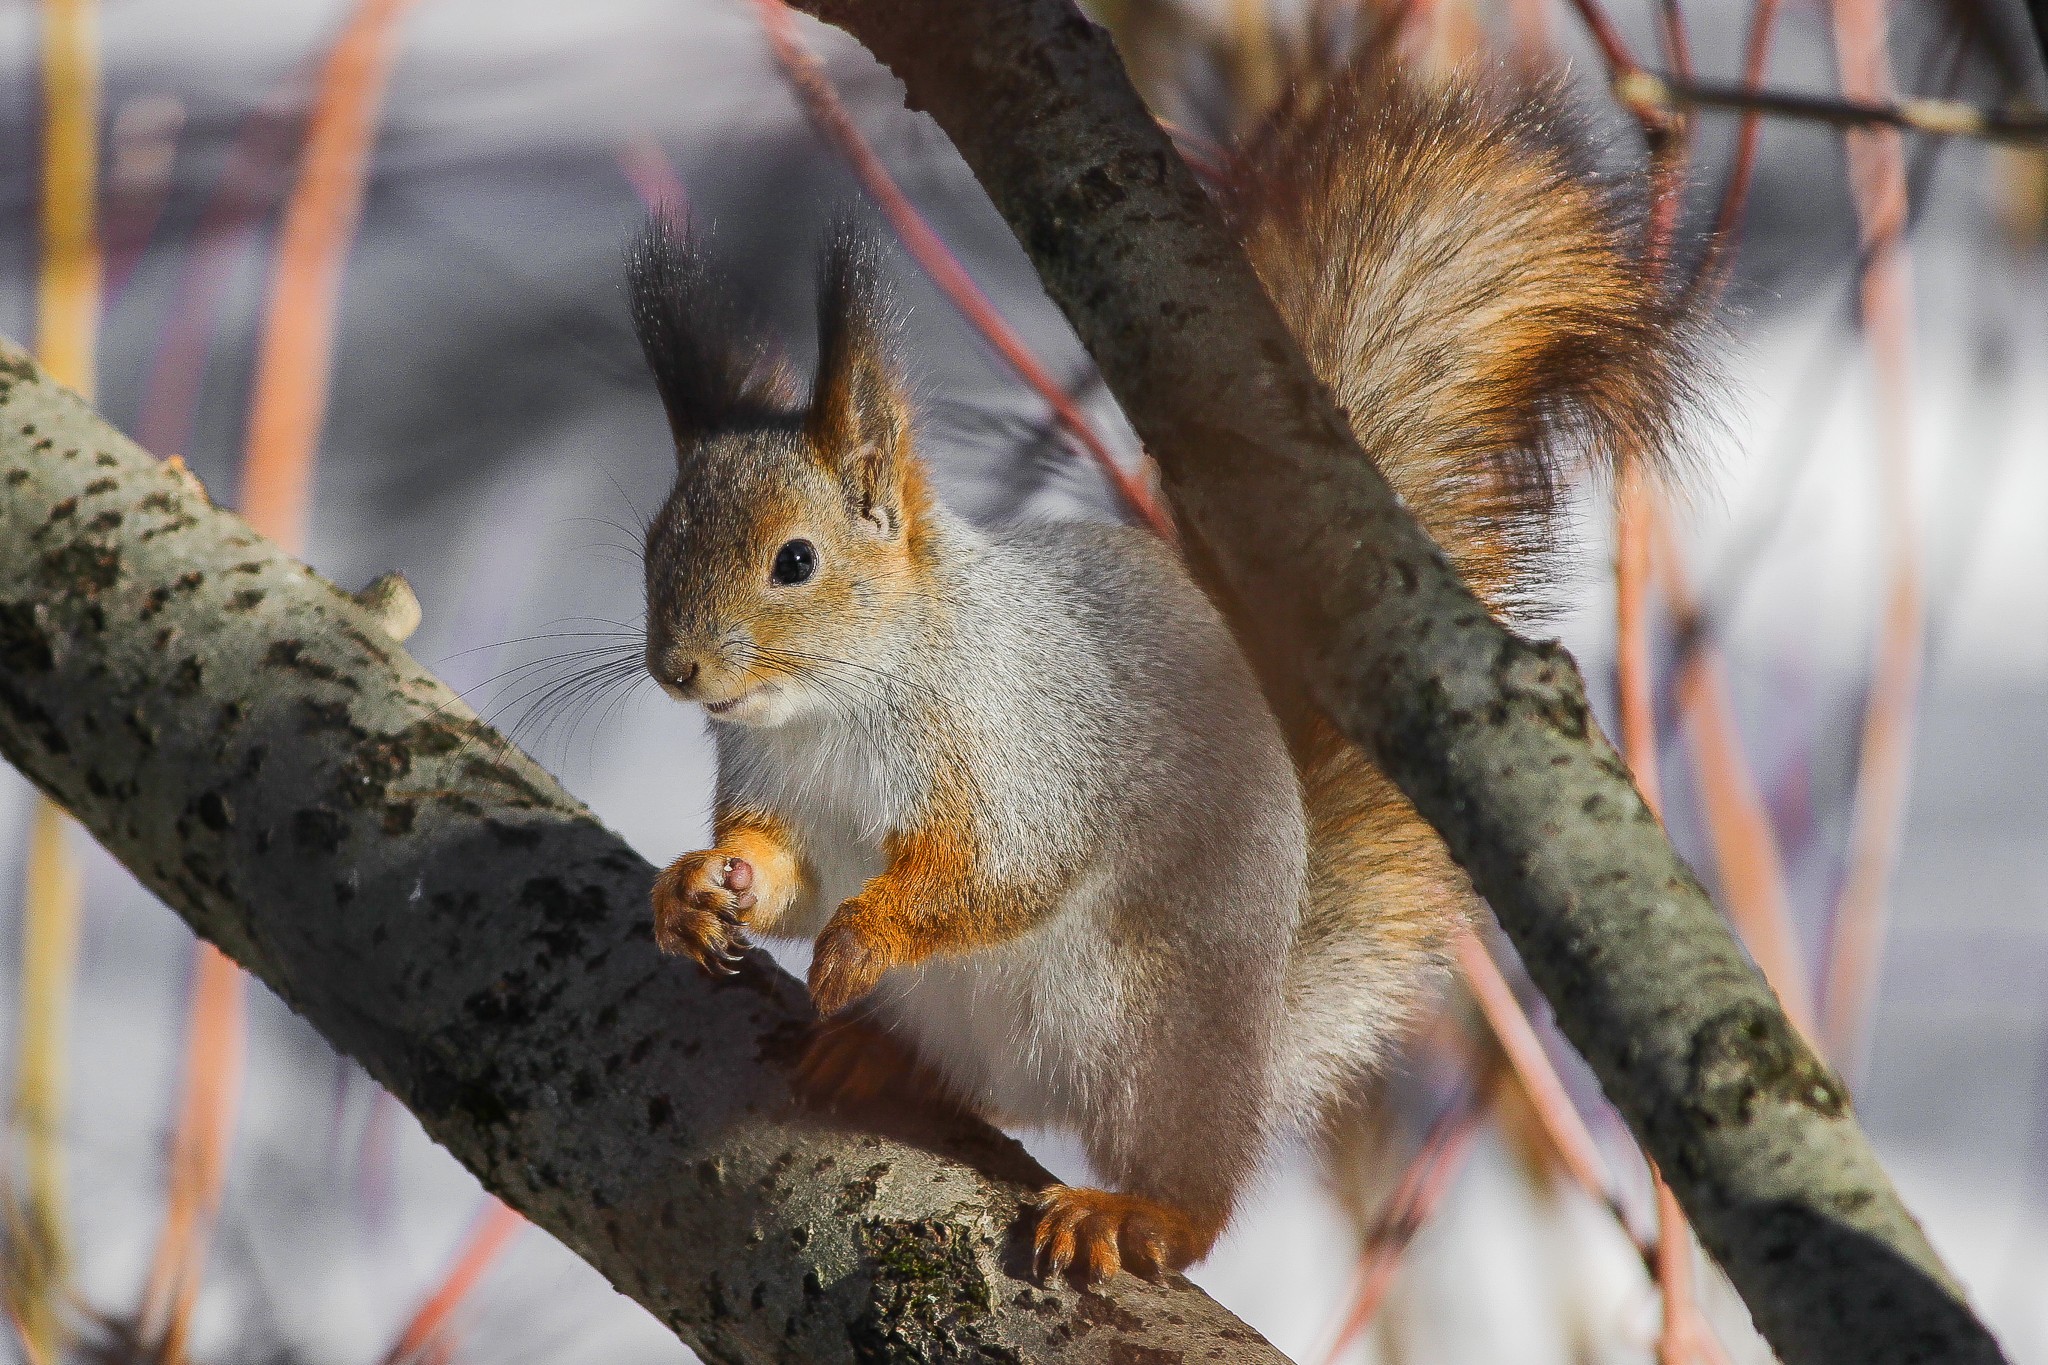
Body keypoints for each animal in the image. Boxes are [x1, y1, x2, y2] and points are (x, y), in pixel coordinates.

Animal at [630, 53, 1687, 1285]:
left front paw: (862, 937)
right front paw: (698, 884)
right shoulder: (776, 785)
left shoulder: (1018, 750)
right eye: (653, 545)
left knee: (1195, 1185)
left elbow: (995, 875)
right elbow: (782, 869)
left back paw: (1132, 1211)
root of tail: (1261, 1027)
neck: (830, 708)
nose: (677, 671)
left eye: (794, 561)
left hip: (1153, 1032)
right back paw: (875, 1061)